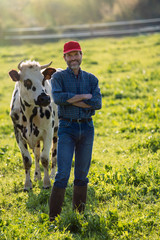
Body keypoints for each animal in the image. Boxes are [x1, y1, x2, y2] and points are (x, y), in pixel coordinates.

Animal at [8, 60, 58, 191]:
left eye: (43, 80)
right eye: (27, 81)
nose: (44, 98)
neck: (29, 114)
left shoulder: (48, 132)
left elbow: (45, 158)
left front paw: (47, 183)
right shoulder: (18, 134)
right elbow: (27, 160)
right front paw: (27, 184)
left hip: (56, 132)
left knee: (54, 153)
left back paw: (52, 175)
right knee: (36, 155)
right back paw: (37, 176)